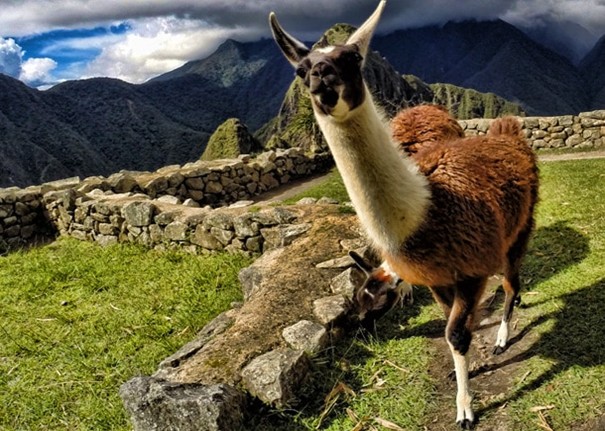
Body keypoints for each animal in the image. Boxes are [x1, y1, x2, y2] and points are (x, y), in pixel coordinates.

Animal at [269, 1, 539, 428]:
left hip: (521, 227)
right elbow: (452, 327)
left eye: (352, 58)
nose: (321, 77)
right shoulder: (440, 278)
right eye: (302, 69)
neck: (425, 213)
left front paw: (465, 409)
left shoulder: (470, 269)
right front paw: (462, 382)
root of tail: (507, 132)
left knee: (512, 282)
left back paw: (501, 338)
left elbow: (457, 334)